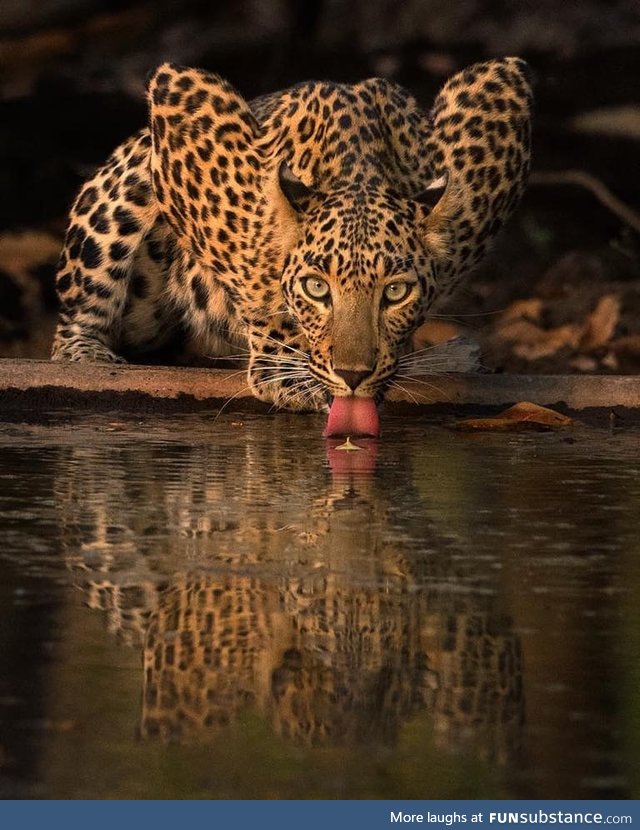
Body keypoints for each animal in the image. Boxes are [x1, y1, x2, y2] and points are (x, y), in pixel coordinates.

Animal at [50, 57, 532, 420]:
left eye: (395, 293)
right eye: (316, 288)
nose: (353, 376)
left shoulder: (501, 91)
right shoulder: (183, 99)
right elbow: (246, 268)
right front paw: (287, 369)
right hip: (128, 187)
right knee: (76, 317)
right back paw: (87, 356)